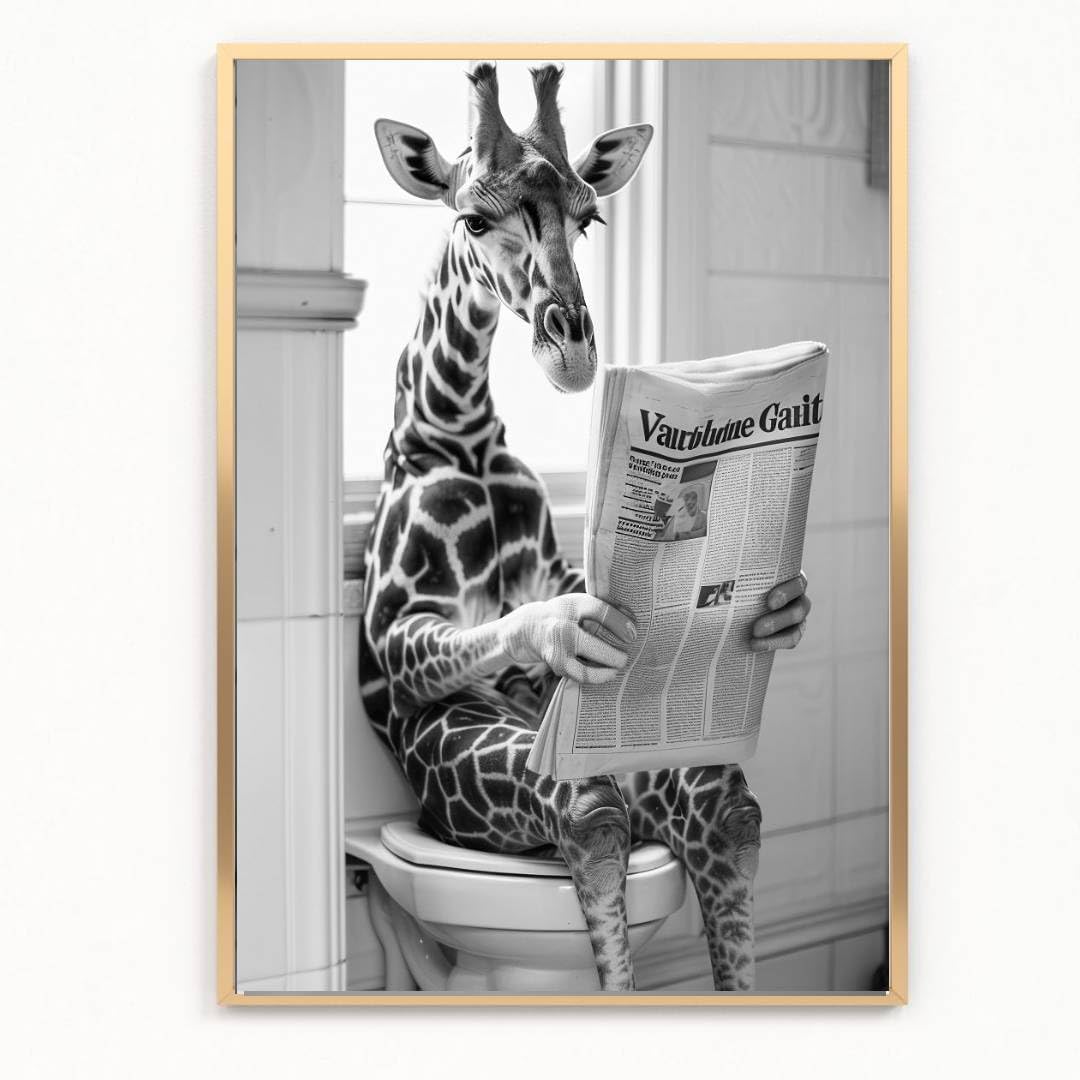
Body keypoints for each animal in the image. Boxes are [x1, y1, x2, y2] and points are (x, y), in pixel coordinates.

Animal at [359, 63, 812, 992]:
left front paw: (782, 607)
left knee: (730, 817)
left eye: (588, 216)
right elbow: (501, 624)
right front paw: (563, 632)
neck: (455, 428)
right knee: (595, 821)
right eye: (473, 217)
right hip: (540, 776)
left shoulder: (563, 565)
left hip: (668, 770)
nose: (572, 355)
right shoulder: (393, 627)